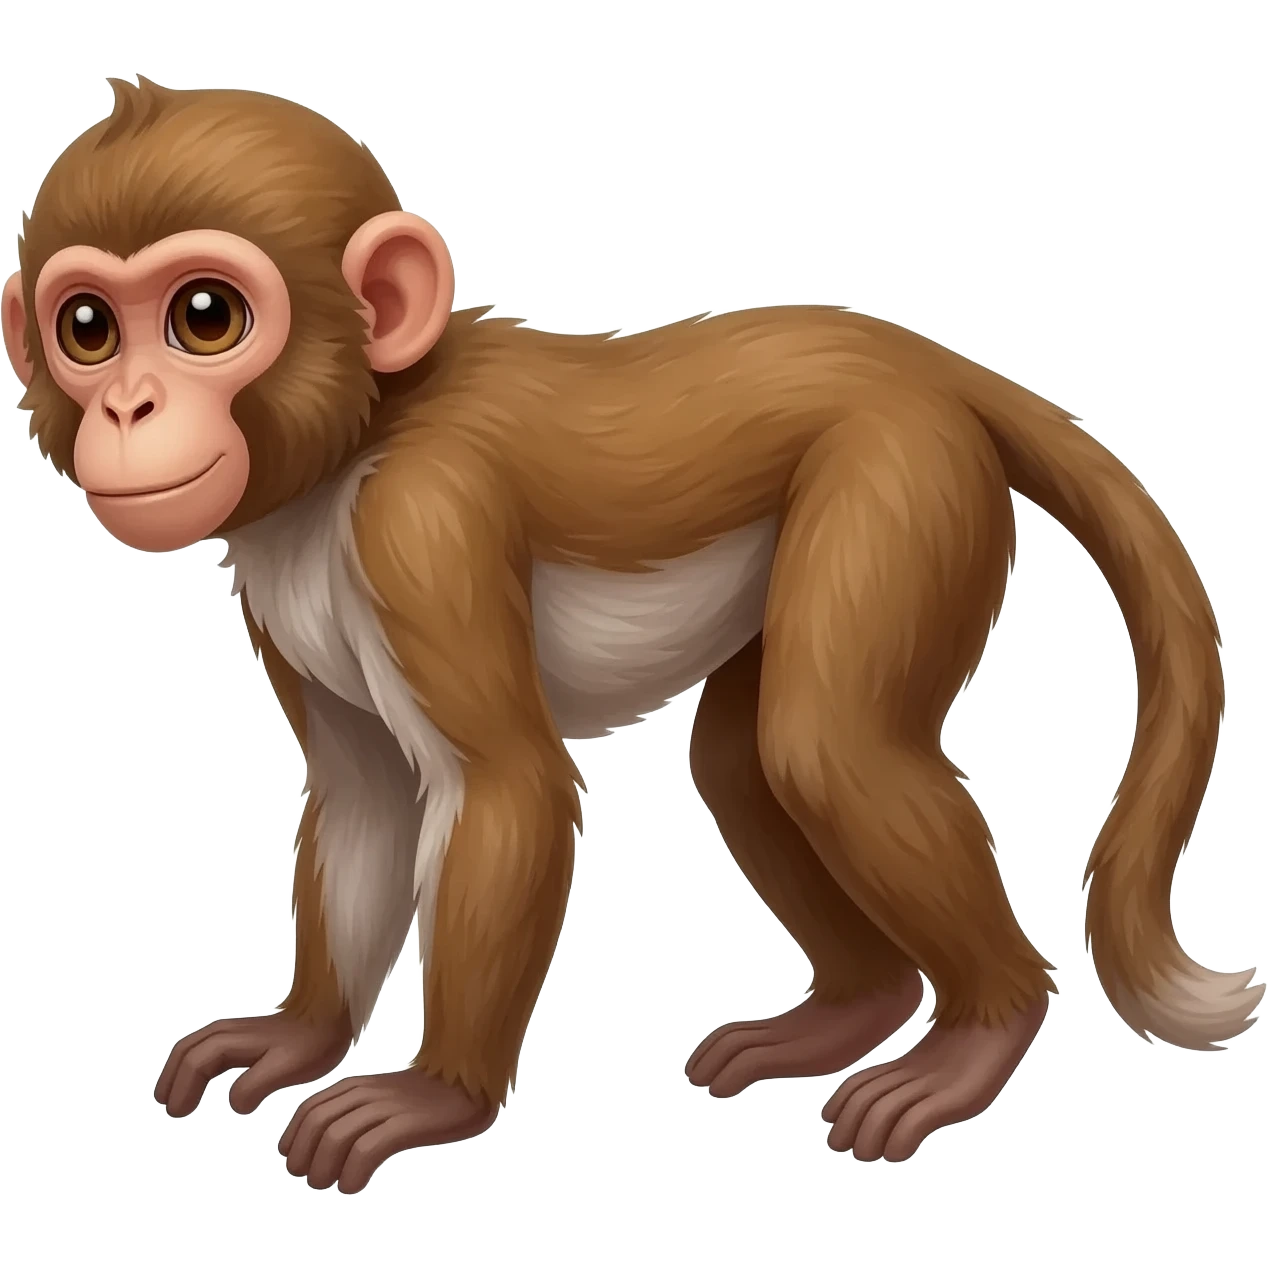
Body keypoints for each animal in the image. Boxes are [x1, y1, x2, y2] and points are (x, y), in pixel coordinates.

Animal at [3, 77, 1260, 1194]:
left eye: (204, 317)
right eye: (88, 328)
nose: (128, 409)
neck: (362, 428)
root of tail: (918, 358)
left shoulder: (424, 522)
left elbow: (504, 782)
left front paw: (433, 1096)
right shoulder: (275, 569)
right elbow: (363, 793)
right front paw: (299, 1033)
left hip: (902, 475)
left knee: (824, 744)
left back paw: (980, 1028)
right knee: (749, 757)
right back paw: (854, 1007)